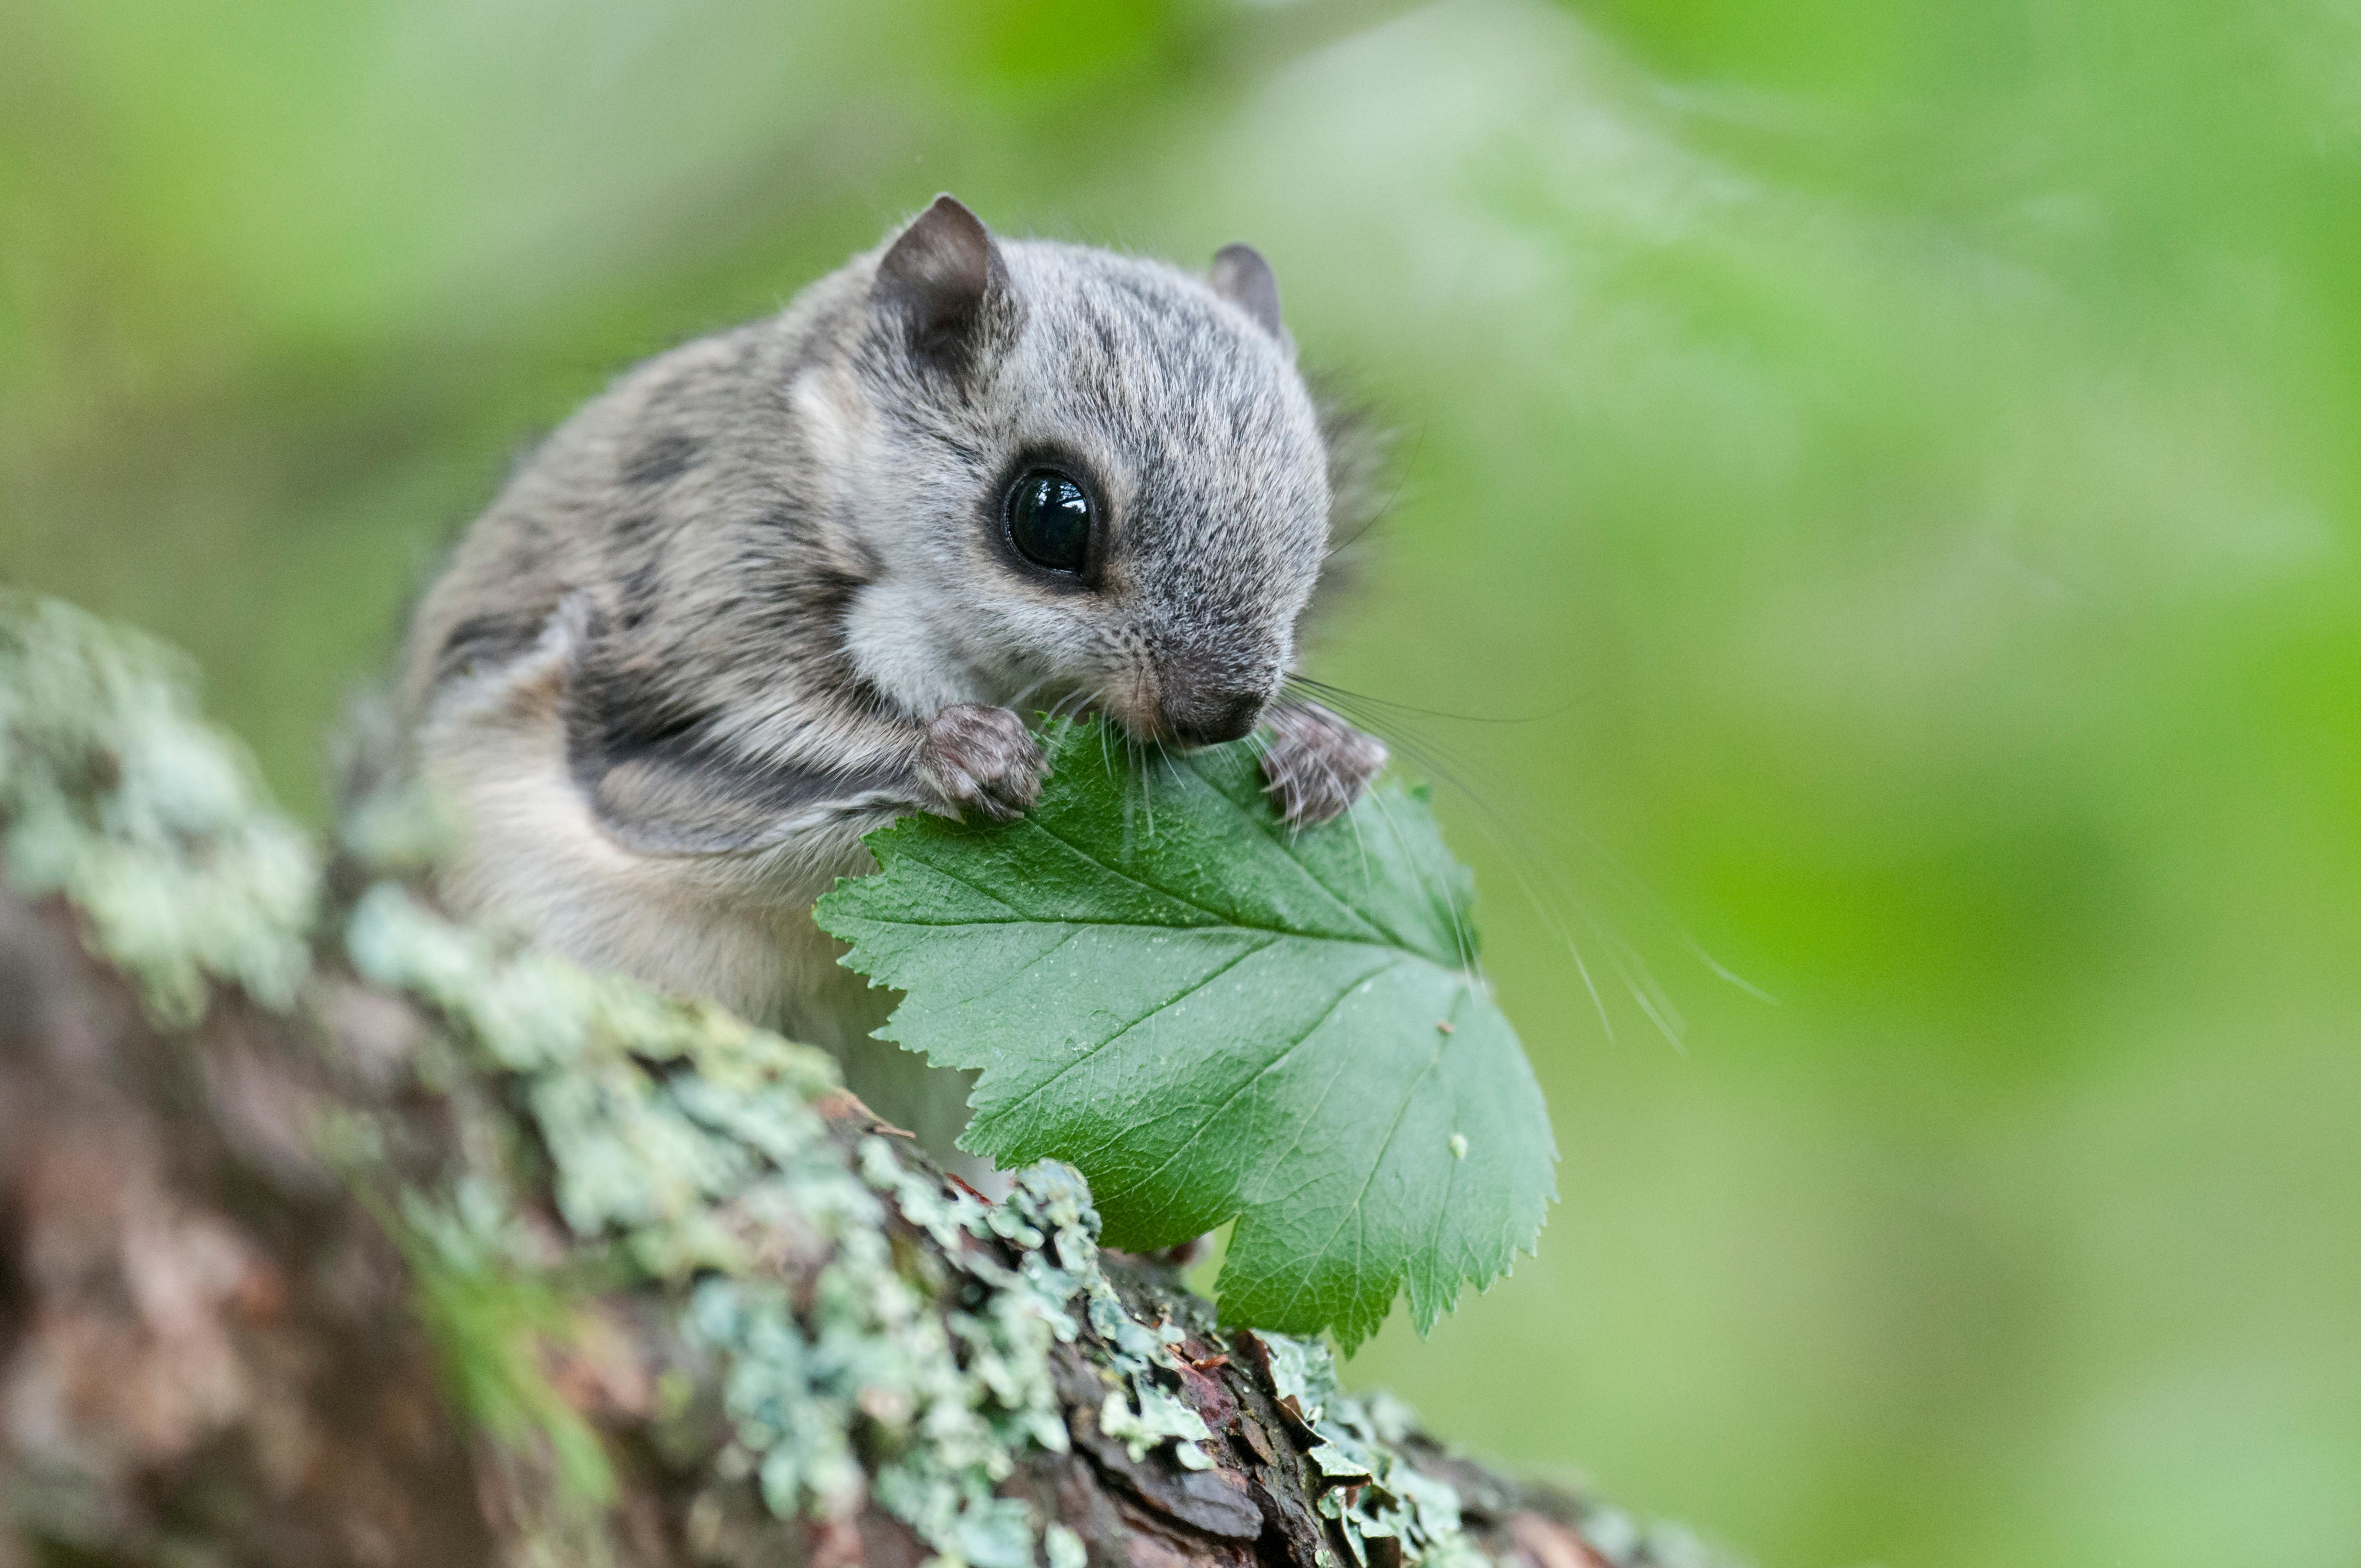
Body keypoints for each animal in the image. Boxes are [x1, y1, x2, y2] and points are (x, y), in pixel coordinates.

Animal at [404, 192, 1388, 1129]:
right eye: (1051, 516)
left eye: (1314, 519)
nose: (1219, 713)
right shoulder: (698, 616)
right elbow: (689, 781)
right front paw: (959, 755)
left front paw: (1326, 750)